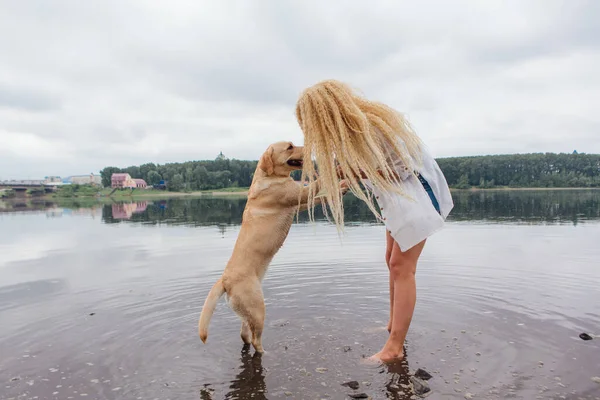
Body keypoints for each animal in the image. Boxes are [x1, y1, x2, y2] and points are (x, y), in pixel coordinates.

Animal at [199, 141, 344, 354]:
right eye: (290, 146)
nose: (308, 147)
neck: (270, 177)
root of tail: (224, 280)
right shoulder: (298, 194)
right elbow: (318, 185)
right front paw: (339, 173)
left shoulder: (299, 203)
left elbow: (320, 197)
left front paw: (342, 187)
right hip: (258, 308)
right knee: (255, 340)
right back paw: (266, 352)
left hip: (247, 313)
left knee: (244, 335)